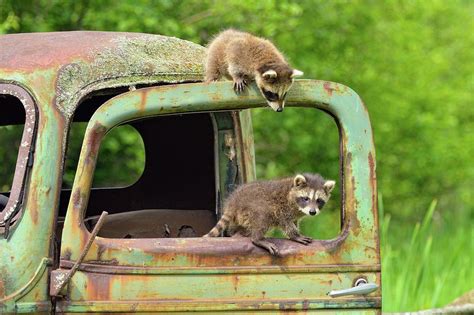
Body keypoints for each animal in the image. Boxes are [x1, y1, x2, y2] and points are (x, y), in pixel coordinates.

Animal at [205, 174, 336, 258]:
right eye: (306, 198)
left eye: (319, 200)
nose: (312, 212)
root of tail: (234, 202)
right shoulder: (282, 208)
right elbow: (286, 223)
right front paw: (295, 235)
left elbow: (294, 222)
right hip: (254, 207)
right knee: (262, 218)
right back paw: (258, 238)